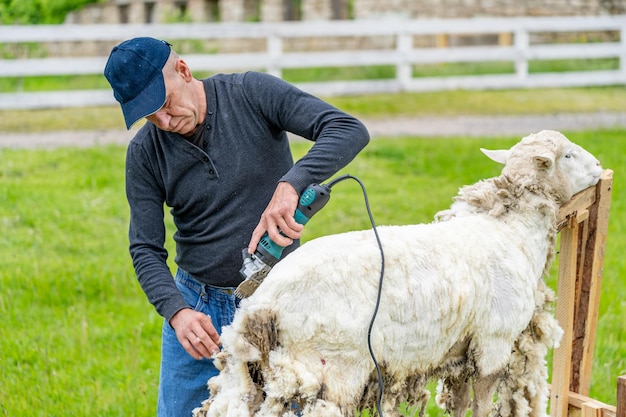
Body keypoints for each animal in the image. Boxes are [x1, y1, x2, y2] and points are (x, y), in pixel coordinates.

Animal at [193, 130, 604, 416]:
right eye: (568, 154)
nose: (601, 166)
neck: (511, 229)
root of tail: (262, 303)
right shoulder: (494, 342)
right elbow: (483, 403)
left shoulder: (460, 352)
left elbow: (459, 404)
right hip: (331, 368)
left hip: (257, 374)